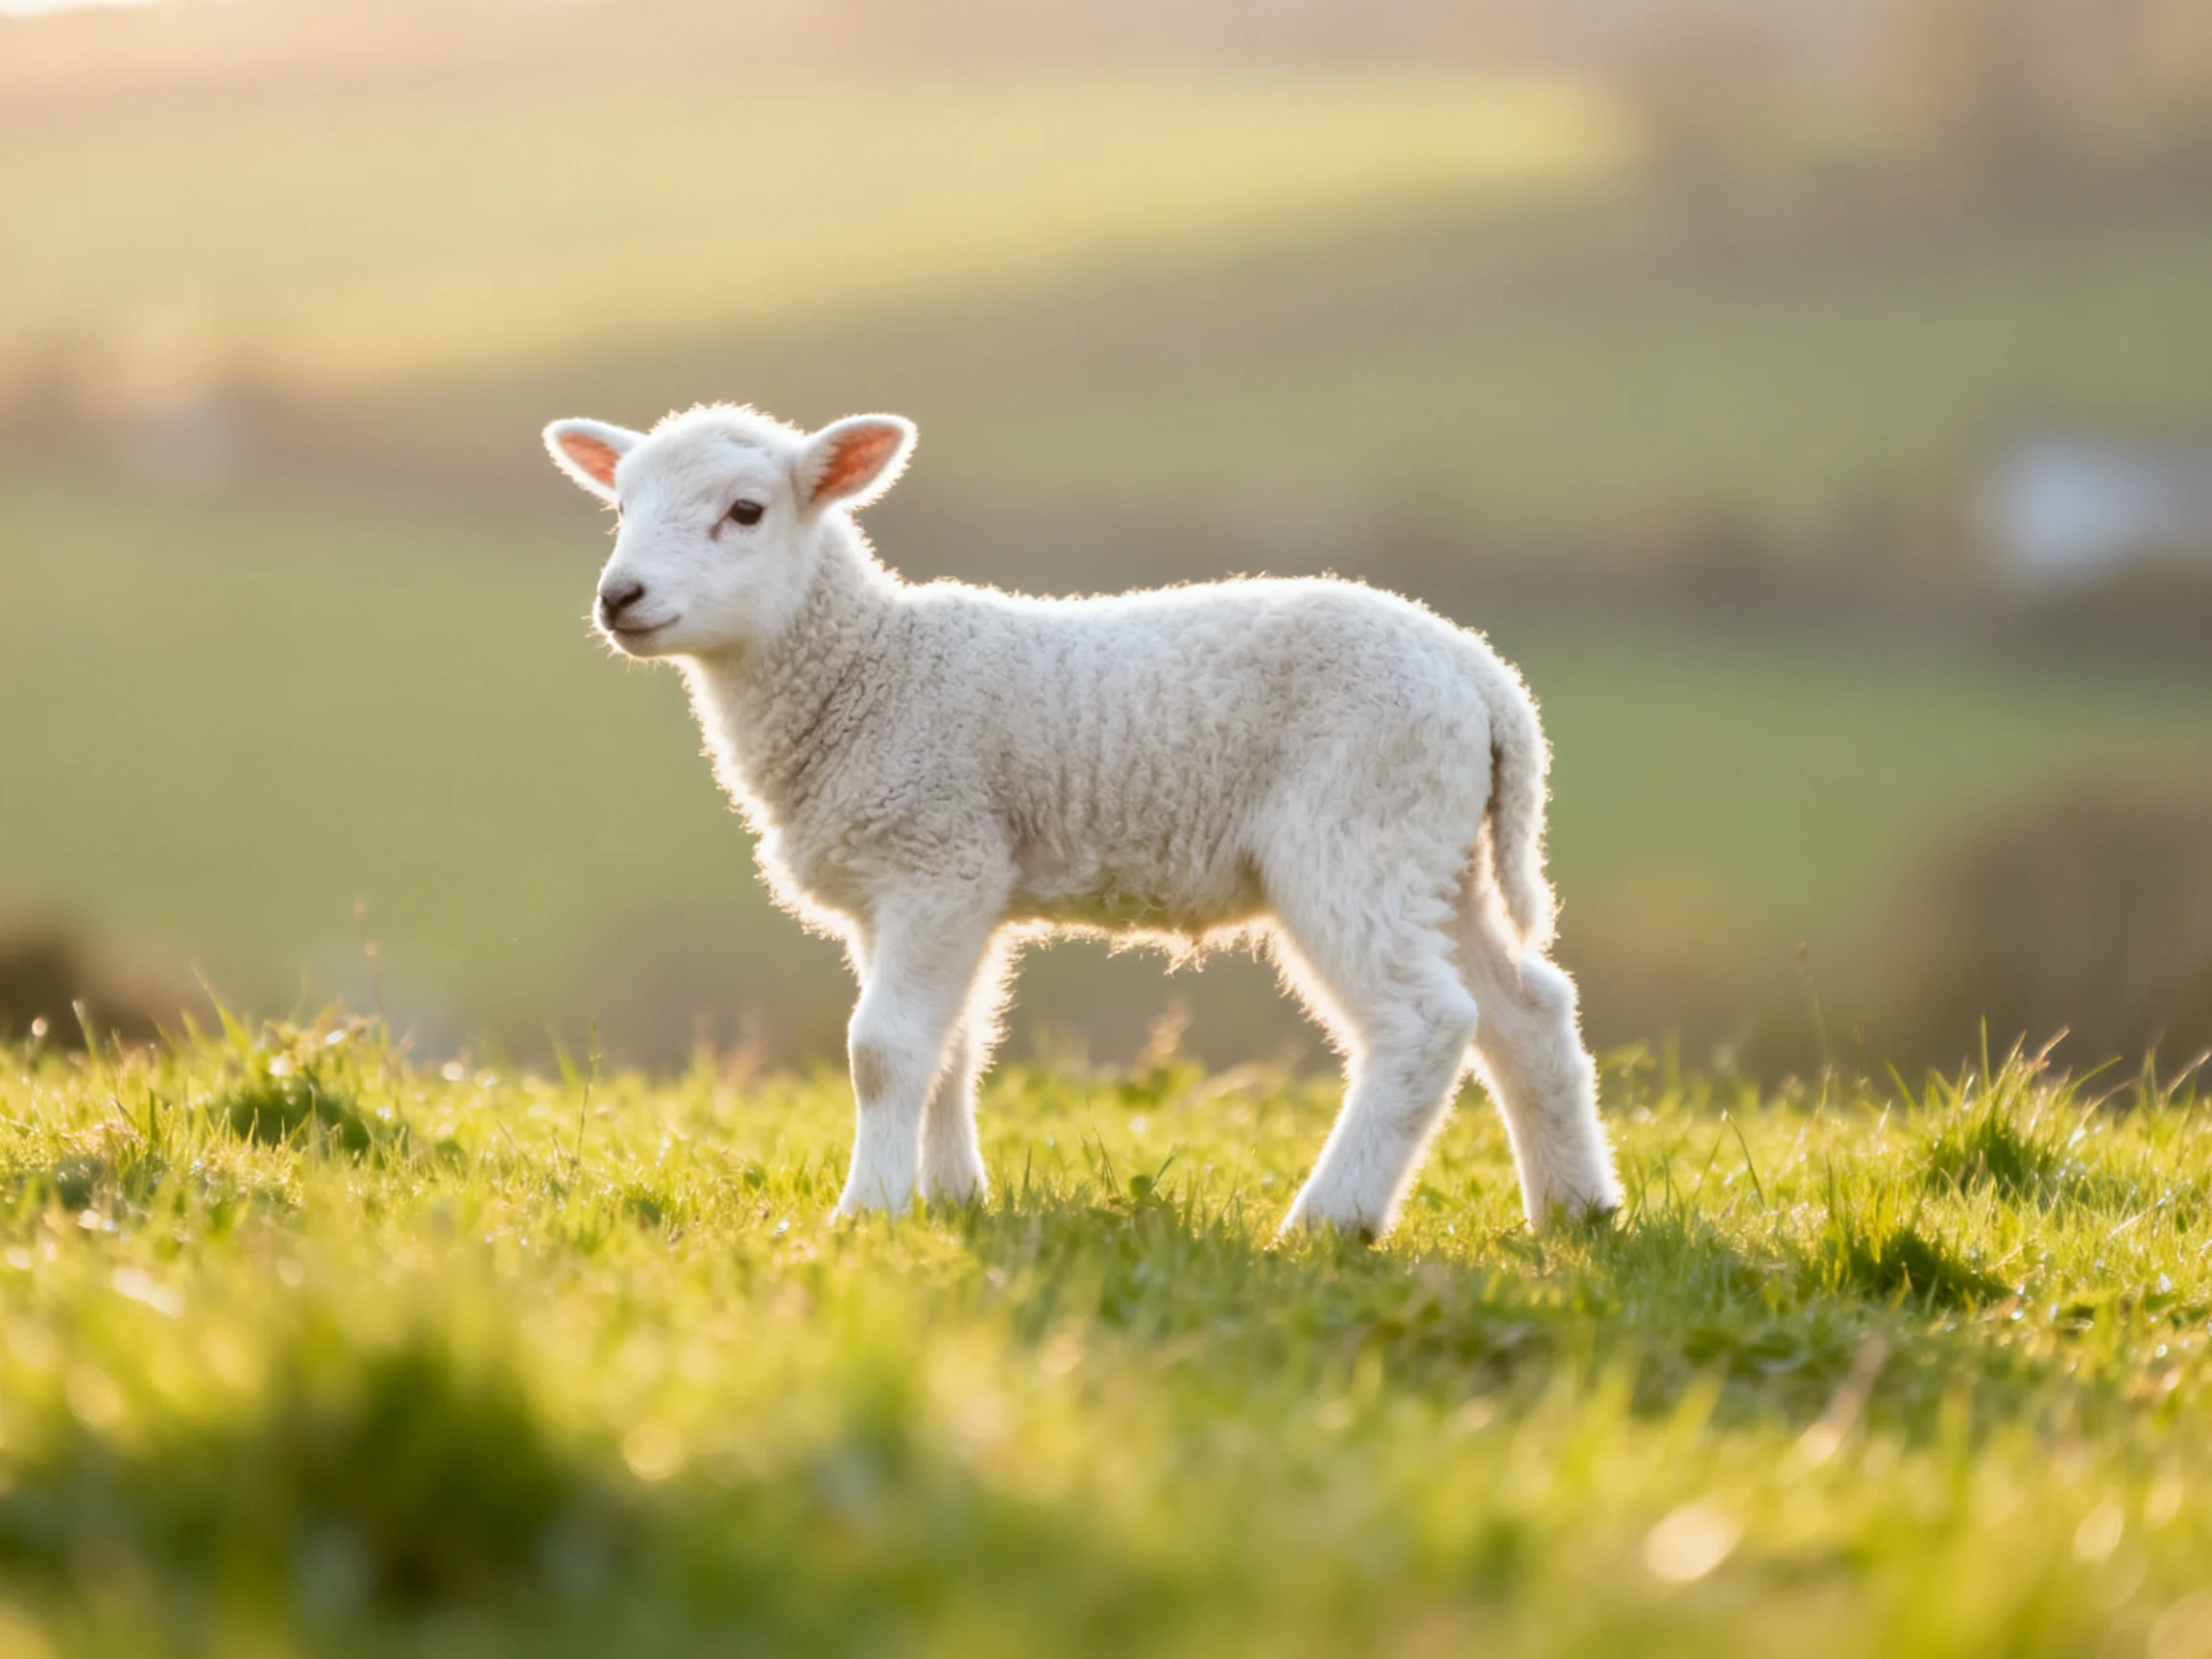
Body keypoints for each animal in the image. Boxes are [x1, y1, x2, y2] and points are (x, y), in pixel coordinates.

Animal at [543, 402, 1622, 1238]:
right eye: (620, 508)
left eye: (746, 511)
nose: (619, 597)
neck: (867, 669)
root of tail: (1484, 677)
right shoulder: (942, 882)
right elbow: (949, 1049)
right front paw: (951, 1200)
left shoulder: (935, 859)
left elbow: (882, 1051)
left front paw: (867, 1213)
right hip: (1439, 848)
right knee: (1526, 1009)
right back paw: (1576, 1211)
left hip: (1357, 833)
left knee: (1425, 1022)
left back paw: (1331, 1220)